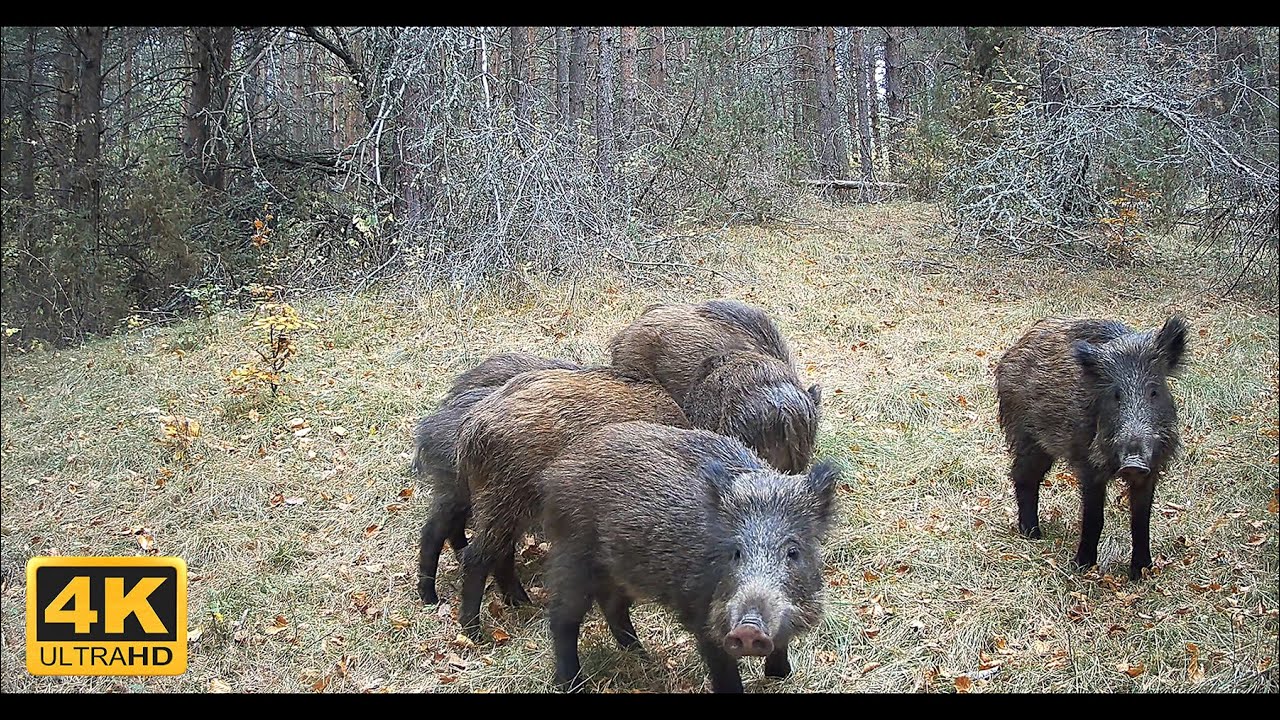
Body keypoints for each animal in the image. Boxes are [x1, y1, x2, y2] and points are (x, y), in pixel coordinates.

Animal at [539, 420, 840, 693]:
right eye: (736, 552)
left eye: (793, 551)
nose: (749, 629)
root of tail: (556, 468)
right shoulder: (703, 614)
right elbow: (724, 671)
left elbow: (781, 644)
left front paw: (781, 677)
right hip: (573, 553)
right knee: (563, 618)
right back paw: (571, 684)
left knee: (614, 607)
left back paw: (643, 657)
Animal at [995, 316, 1189, 580]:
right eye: (1116, 395)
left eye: (1154, 391)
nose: (1133, 463)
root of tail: (1013, 349)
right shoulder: (1088, 464)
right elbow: (1094, 517)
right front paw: (1082, 567)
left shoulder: (1152, 469)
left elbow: (1141, 520)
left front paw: (1141, 572)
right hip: (1028, 437)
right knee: (1022, 475)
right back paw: (1033, 534)